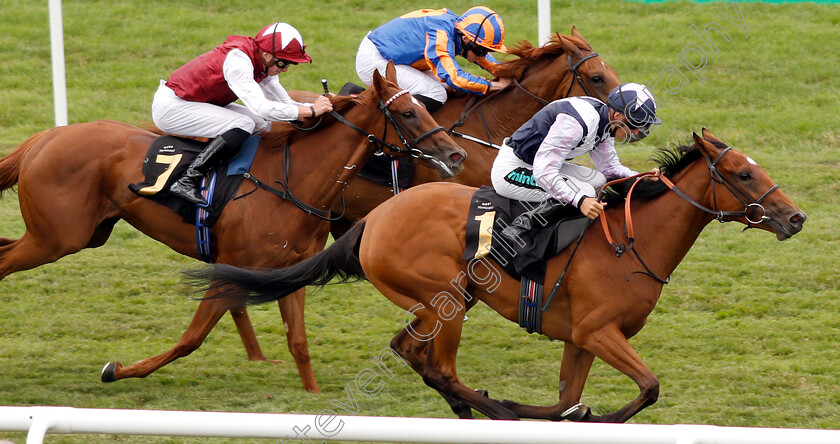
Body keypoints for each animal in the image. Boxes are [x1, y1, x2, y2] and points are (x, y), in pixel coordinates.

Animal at [0, 62, 466, 392]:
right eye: (408, 112)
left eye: (424, 107)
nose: (456, 154)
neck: (292, 181)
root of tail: (43, 138)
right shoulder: (230, 268)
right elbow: (191, 338)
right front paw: (116, 370)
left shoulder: (288, 270)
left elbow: (298, 341)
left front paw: (312, 396)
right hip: (56, 238)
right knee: (5, 260)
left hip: (80, 235)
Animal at [199, 130, 808, 422]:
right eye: (743, 173)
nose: (796, 217)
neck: (630, 242)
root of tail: (375, 218)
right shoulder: (598, 333)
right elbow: (648, 388)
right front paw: (583, 416)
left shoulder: (580, 339)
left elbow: (568, 399)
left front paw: (570, 413)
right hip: (444, 296)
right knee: (437, 366)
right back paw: (493, 408)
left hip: (445, 301)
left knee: (409, 351)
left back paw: (476, 409)